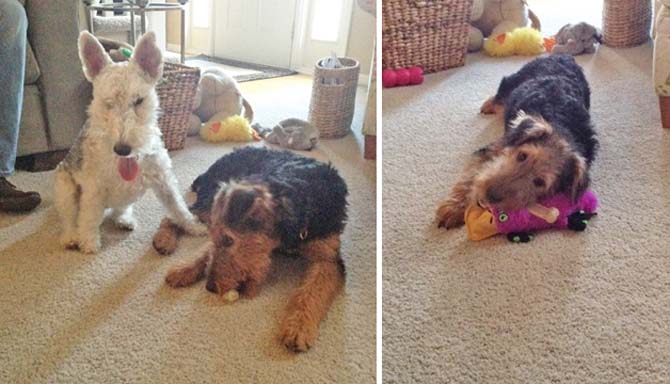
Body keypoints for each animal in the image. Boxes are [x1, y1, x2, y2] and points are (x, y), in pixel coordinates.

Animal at [55, 29, 205, 252]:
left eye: (139, 100)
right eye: (107, 103)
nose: (122, 149)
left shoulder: (164, 179)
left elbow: (177, 205)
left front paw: (194, 226)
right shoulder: (93, 188)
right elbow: (89, 217)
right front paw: (89, 243)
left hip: (125, 197)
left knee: (119, 210)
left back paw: (125, 221)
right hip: (65, 188)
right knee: (70, 218)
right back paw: (71, 237)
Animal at [158, 146, 350, 352]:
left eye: (229, 240)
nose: (210, 287)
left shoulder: (328, 257)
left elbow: (312, 291)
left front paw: (298, 327)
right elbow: (206, 249)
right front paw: (183, 269)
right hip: (208, 203)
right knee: (177, 214)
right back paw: (163, 240)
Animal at [438, 54, 600, 228]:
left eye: (539, 182)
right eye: (522, 155)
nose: (489, 195)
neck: (564, 129)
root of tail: (564, 55)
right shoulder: (493, 148)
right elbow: (469, 178)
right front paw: (452, 209)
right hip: (513, 80)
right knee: (501, 96)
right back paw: (487, 105)